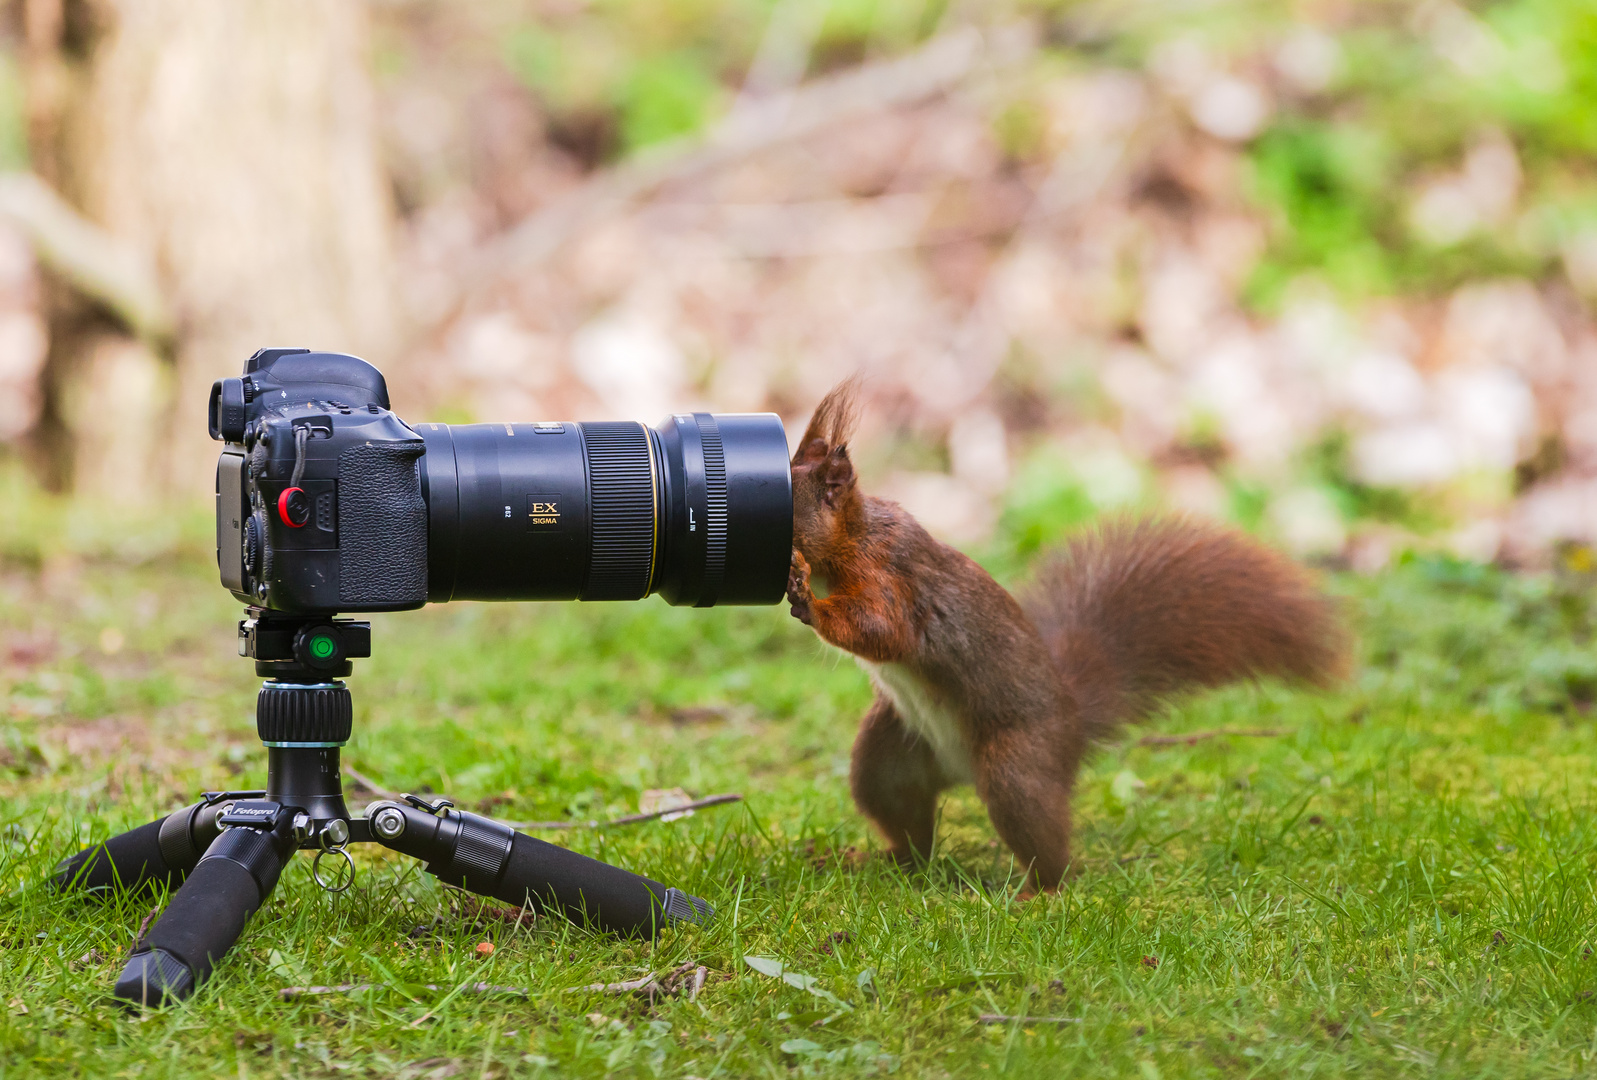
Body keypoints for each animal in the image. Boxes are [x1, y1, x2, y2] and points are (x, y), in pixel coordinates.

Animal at [785, 383, 1347, 888]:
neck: (854, 537)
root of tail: (1074, 724)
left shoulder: (890, 577)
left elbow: (883, 630)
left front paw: (809, 601)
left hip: (1016, 767)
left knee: (1047, 848)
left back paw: (1037, 893)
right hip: (888, 758)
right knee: (909, 826)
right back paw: (880, 861)